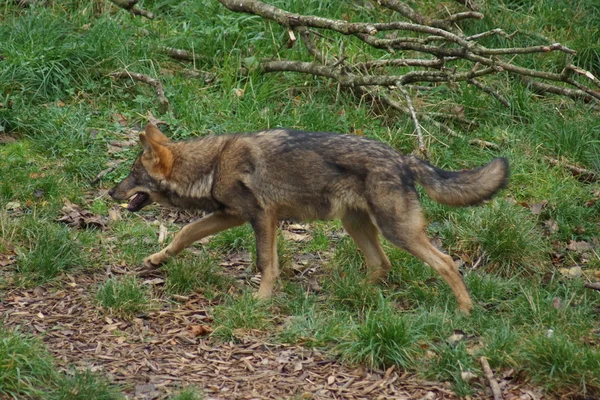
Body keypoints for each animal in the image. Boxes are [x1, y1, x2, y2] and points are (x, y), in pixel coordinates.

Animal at [110, 123, 508, 314]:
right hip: (356, 226)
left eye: (131, 174)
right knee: (381, 265)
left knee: (445, 262)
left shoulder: (261, 217)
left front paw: (260, 301)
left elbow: (266, 263)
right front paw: (156, 259)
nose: (110, 192)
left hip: (397, 232)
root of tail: (404, 158)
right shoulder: (230, 216)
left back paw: (465, 310)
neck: (212, 164)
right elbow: (185, 234)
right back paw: (345, 294)